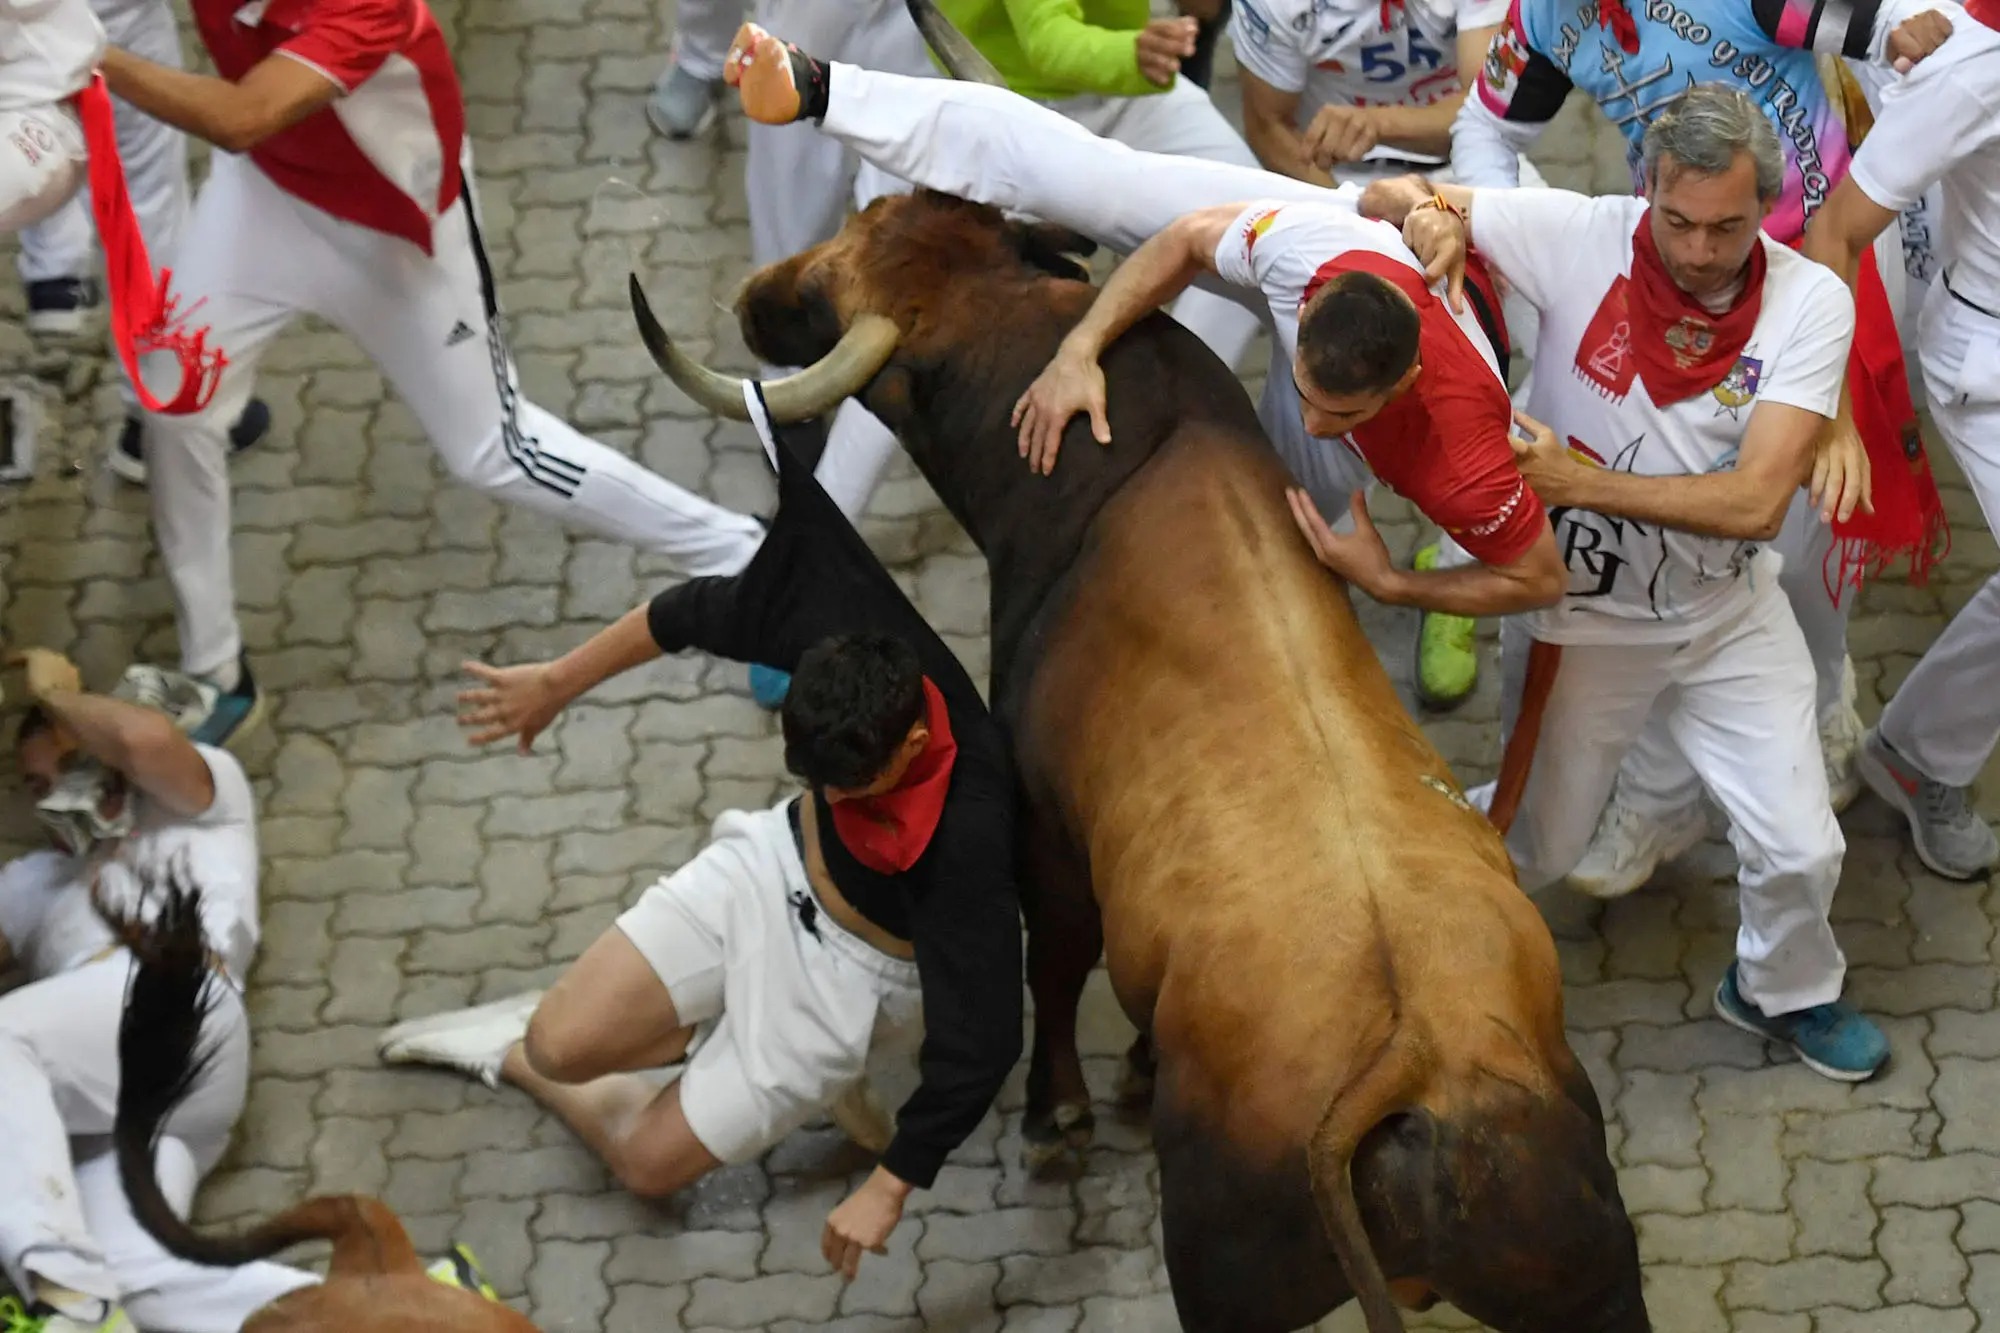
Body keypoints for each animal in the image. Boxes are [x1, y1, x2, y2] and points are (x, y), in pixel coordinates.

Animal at [632, 189, 1648, 1328]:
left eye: (815, 293)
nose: (753, 294)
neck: (1132, 455)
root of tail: (1416, 1060)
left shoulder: (1046, 830)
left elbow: (1058, 960)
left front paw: (1058, 1113)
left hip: (1225, 1287)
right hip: (1592, 1282)